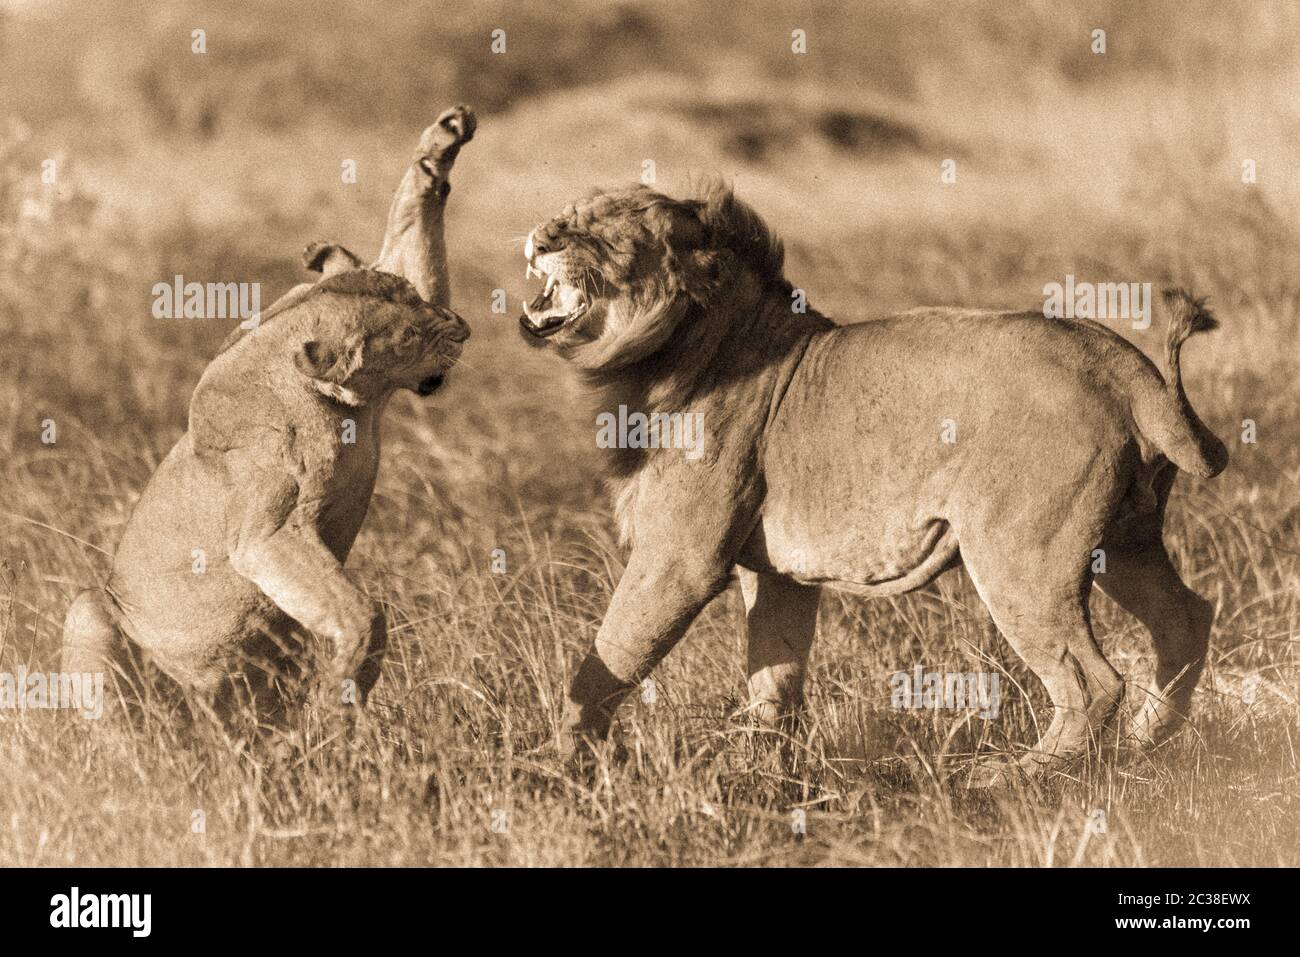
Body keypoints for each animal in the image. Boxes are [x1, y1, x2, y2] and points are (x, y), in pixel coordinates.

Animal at [62, 106, 478, 717]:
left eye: (413, 299)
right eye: (406, 337)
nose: (462, 328)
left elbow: (410, 228)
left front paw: (441, 141)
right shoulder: (266, 534)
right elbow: (360, 611)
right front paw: (338, 695)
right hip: (92, 608)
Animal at [520, 183, 1227, 780]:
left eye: (605, 233)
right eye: (567, 213)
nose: (541, 237)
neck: (666, 358)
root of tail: (1122, 363)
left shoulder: (680, 559)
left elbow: (608, 658)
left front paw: (560, 766)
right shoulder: (778, 573)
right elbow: (774, 676)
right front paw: (765, 774)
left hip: (1020, 555)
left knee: (1092, 679)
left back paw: (1019, 776)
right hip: (1125, 540)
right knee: (1186, 619)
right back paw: (1144, 743)